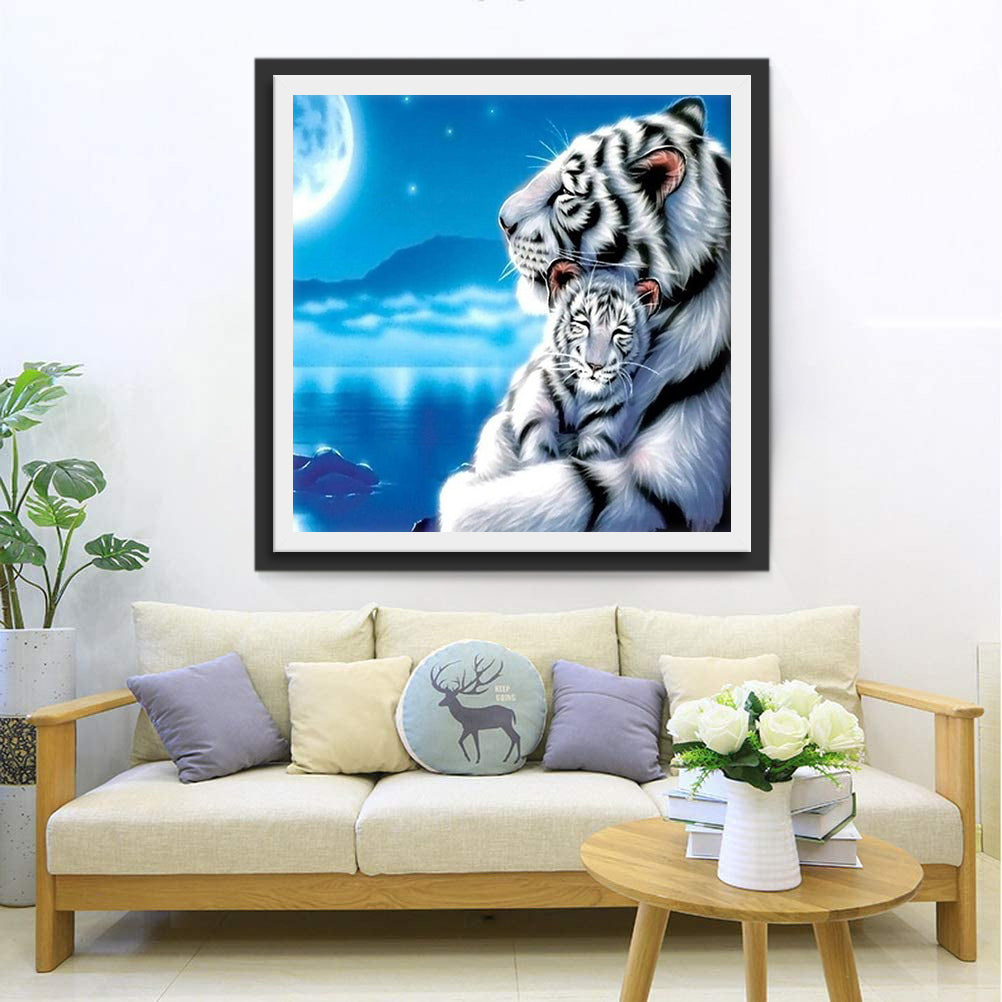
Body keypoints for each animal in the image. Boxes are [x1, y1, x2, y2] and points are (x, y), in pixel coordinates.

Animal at [473, 259, 663, 478]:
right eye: (583, 323)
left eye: (620, 331)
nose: (595, 366)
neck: (580, 397)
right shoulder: (537, 415)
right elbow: (538, 456)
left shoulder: (601, 431)